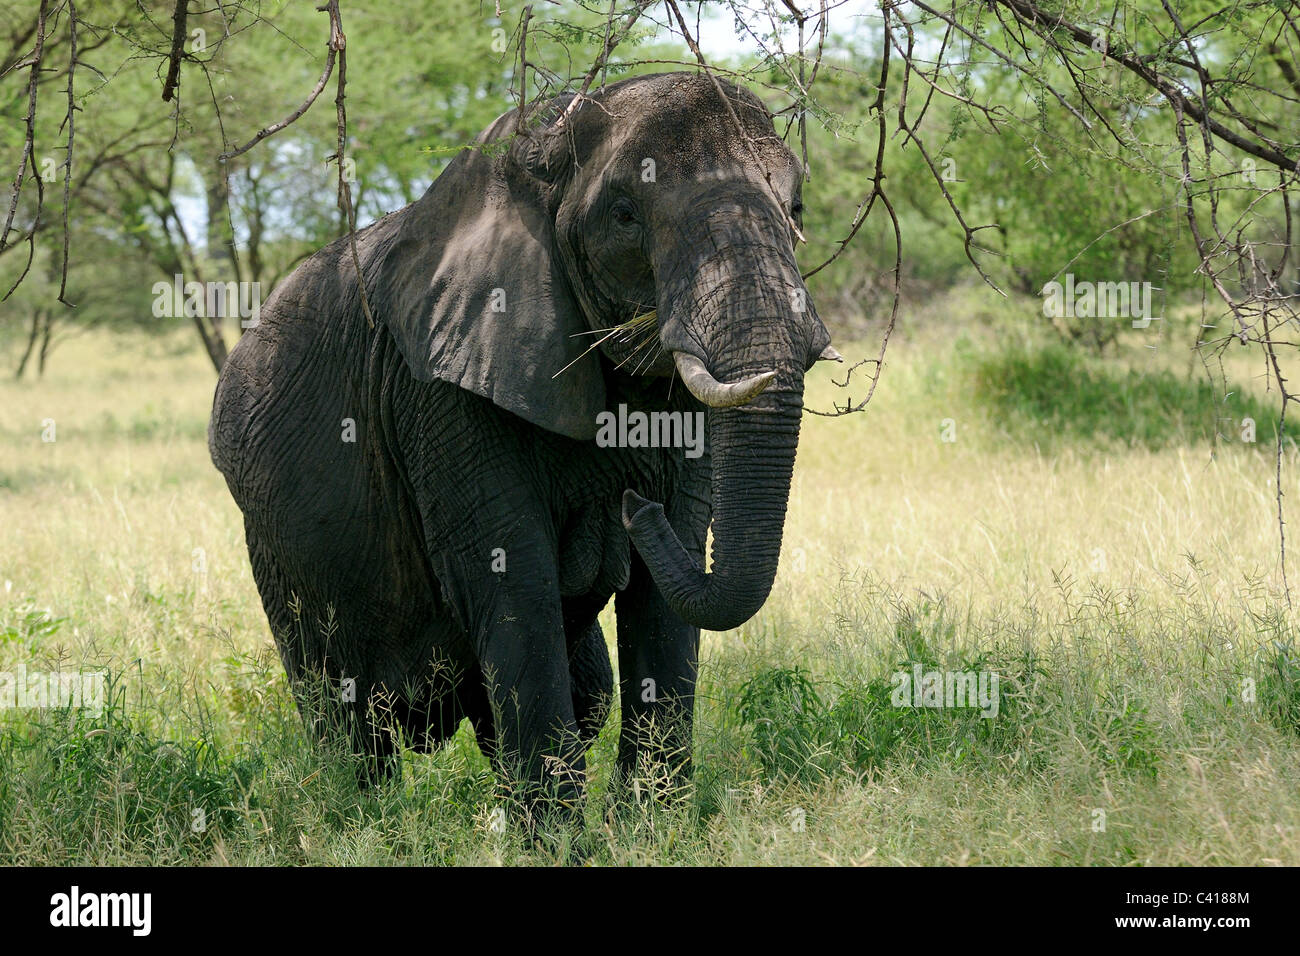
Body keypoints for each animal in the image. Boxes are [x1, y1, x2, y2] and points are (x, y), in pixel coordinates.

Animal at [204, 70, 832, 827]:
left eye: (795, 206)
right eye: (624, 215)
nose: (632, 509)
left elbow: (668, 586)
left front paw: (649, 829)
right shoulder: (439, 391)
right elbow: (512, 575)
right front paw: (566, 842)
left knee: (581, 694)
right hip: (277, 549)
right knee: (347, 719)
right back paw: (365, 825)